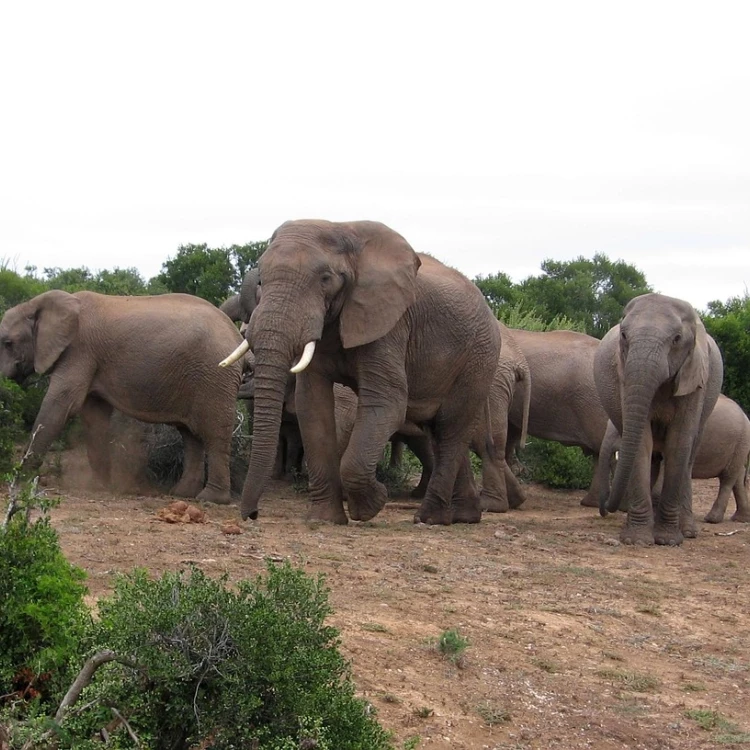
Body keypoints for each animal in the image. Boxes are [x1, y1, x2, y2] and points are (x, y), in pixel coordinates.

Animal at [0, 290, 244, 502]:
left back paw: (210, 499)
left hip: (215, 376)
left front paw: (20, 478)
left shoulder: (79, 350)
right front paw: (102, 486)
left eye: (8, 343)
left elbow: (63, 403)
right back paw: (182, 494)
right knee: (190, 435)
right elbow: (94, 416)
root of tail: (234, 332)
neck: (34, 304)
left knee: (214, 434)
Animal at [223, 222, 506, 528]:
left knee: (451, 427)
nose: (252, 514)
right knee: (439, 430)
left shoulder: (390, 322)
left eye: (325, 278)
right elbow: (313, 405)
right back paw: (465, 516)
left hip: (479, 357)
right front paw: (325, 520)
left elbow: (387, 402)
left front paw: (371, 505)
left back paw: (430, 518)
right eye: (262, 278)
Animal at [592, 396, 750, 524]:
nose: (605, 512)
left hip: (741, 442)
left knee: (728, 478)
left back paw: (711, 519)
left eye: (620, 431)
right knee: (737, 476)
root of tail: (745, 415)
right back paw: (740, 519)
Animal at [596, 292, 724, 548]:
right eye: (623, 335)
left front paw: (667, 540)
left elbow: (679, 442)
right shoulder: (625, 376)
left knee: (689, 456)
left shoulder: (695, 376)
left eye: (676, 339)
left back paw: (688, 532)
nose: (604, 508)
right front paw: (637, 540)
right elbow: (642, 443)